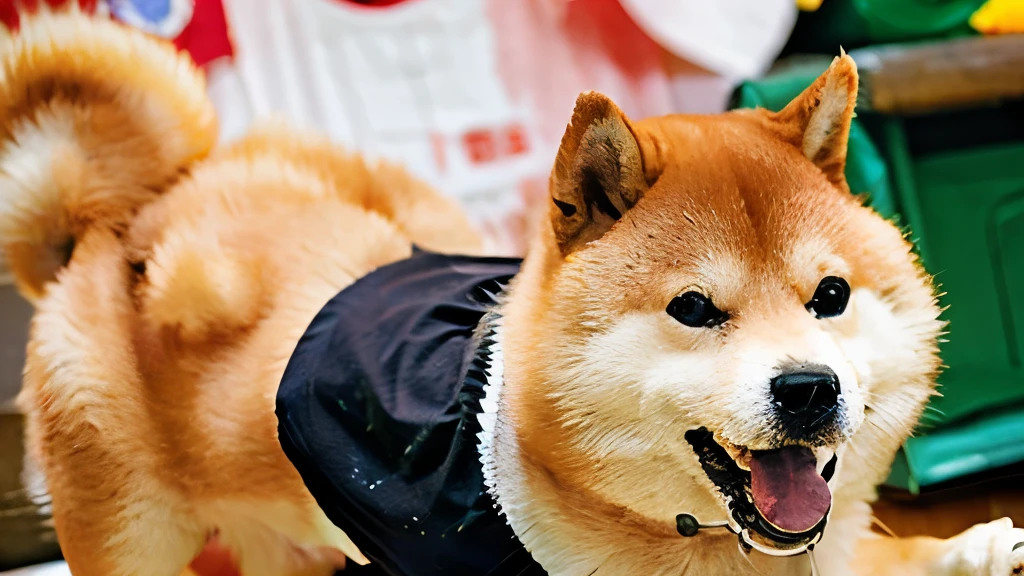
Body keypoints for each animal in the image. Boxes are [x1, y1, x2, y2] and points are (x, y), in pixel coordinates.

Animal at [2, 5, 1024, 573]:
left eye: (832, 296)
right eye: (694, 309)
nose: (810, 389)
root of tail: (115, 220)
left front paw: (972, 546)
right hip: (132, 539)